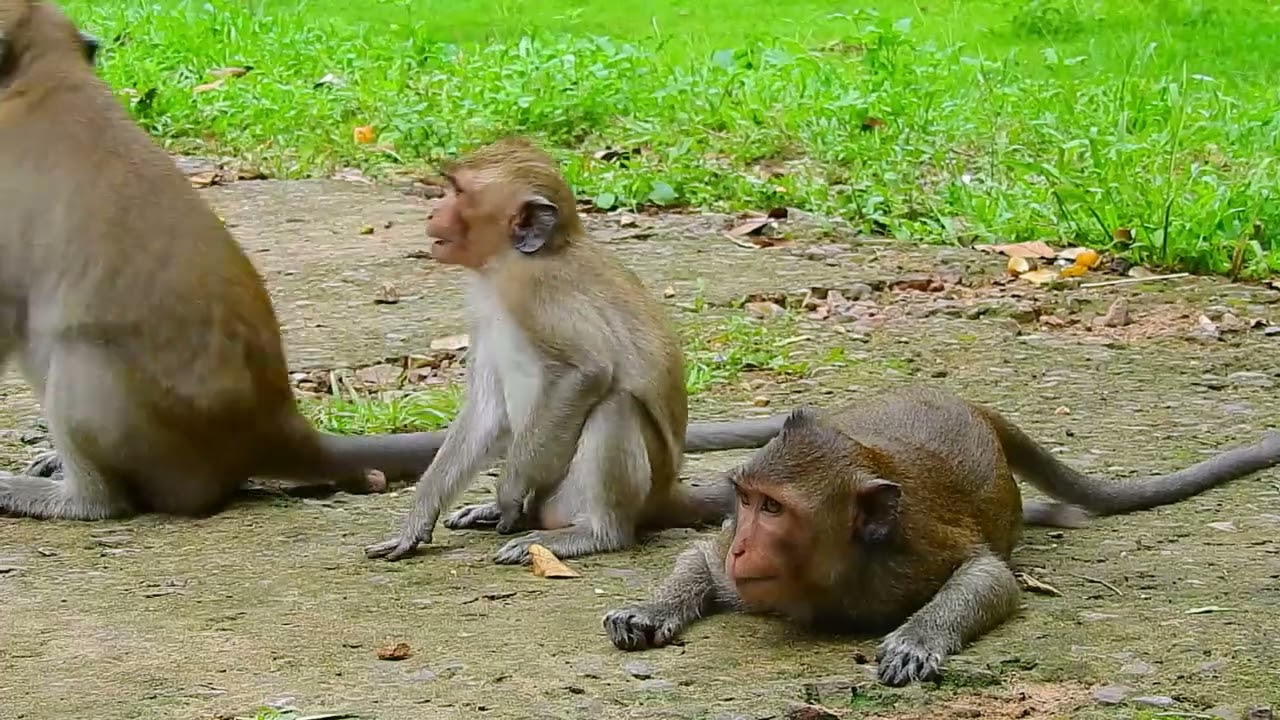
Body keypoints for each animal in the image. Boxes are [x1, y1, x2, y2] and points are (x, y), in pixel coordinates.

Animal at [364, 136, 788, 565]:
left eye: (459, 191)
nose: (433, 210)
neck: (508, 262)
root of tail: (668, 496)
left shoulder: (535, 289)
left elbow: (588, 371)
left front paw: (507, 494)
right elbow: (485, 410)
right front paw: (418, 520)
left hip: (580, 497)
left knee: (615, 405)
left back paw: (594, 533)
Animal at [602, 386, 1280, 687]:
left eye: (772, 508)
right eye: (745, 501)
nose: (743, 543)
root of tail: (971, 407)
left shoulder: (910, 557)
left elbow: (989, 576)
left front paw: (917, 641)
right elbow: (702, 558)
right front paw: (648, 611)